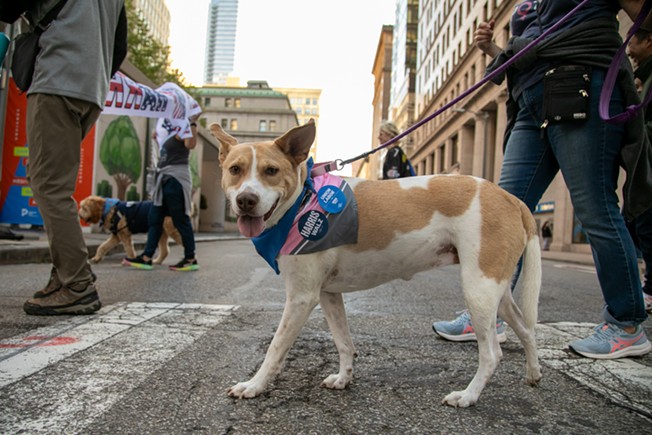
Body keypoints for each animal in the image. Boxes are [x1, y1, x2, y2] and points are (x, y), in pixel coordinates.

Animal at [211, 120, 544, 408]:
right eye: (235, 170)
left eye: (271, 170)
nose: (246, 200)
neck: (302, 201)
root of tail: (509, 198)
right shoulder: (328, 294)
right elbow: (344, 342)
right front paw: (344, 378)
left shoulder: (301, 298)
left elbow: (275, 347)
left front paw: (254, 385)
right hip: (496, 290)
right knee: (526, 330)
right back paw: (534, 373)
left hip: (478, 289)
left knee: (492, 354)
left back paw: (468, 395)